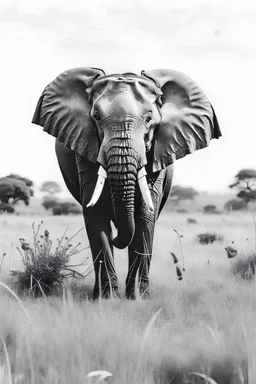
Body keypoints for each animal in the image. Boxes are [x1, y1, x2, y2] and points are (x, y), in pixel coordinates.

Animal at [31, 67, 220, 298]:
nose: (116, 239)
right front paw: (107, 298)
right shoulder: (85, 148)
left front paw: (138, 297)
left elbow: (144, 217)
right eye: (96, 116)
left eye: (149, 118)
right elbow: (96, 216)